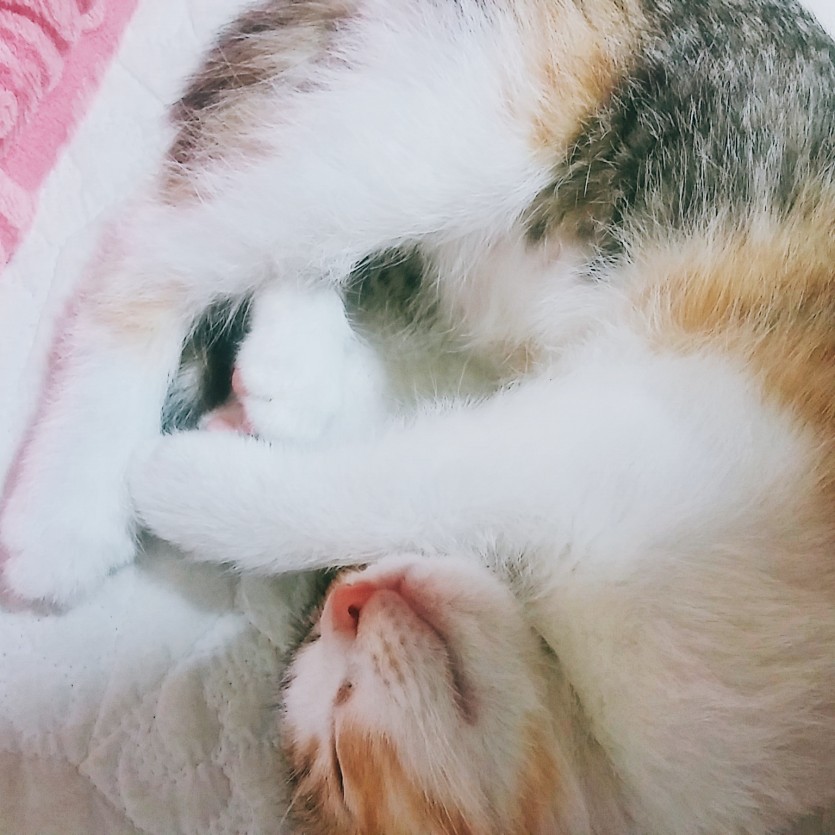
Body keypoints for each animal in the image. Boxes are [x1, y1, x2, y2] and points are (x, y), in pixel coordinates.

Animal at [1, 0, 834, 830]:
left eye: (340, 761)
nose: (346, 600)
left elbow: (421, 446)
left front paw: (224, 459)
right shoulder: (659, 419)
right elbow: (423, 477)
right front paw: (179, 481)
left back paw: (291, 368)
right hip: (456, 128)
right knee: (153, 246)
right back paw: (67, 505)